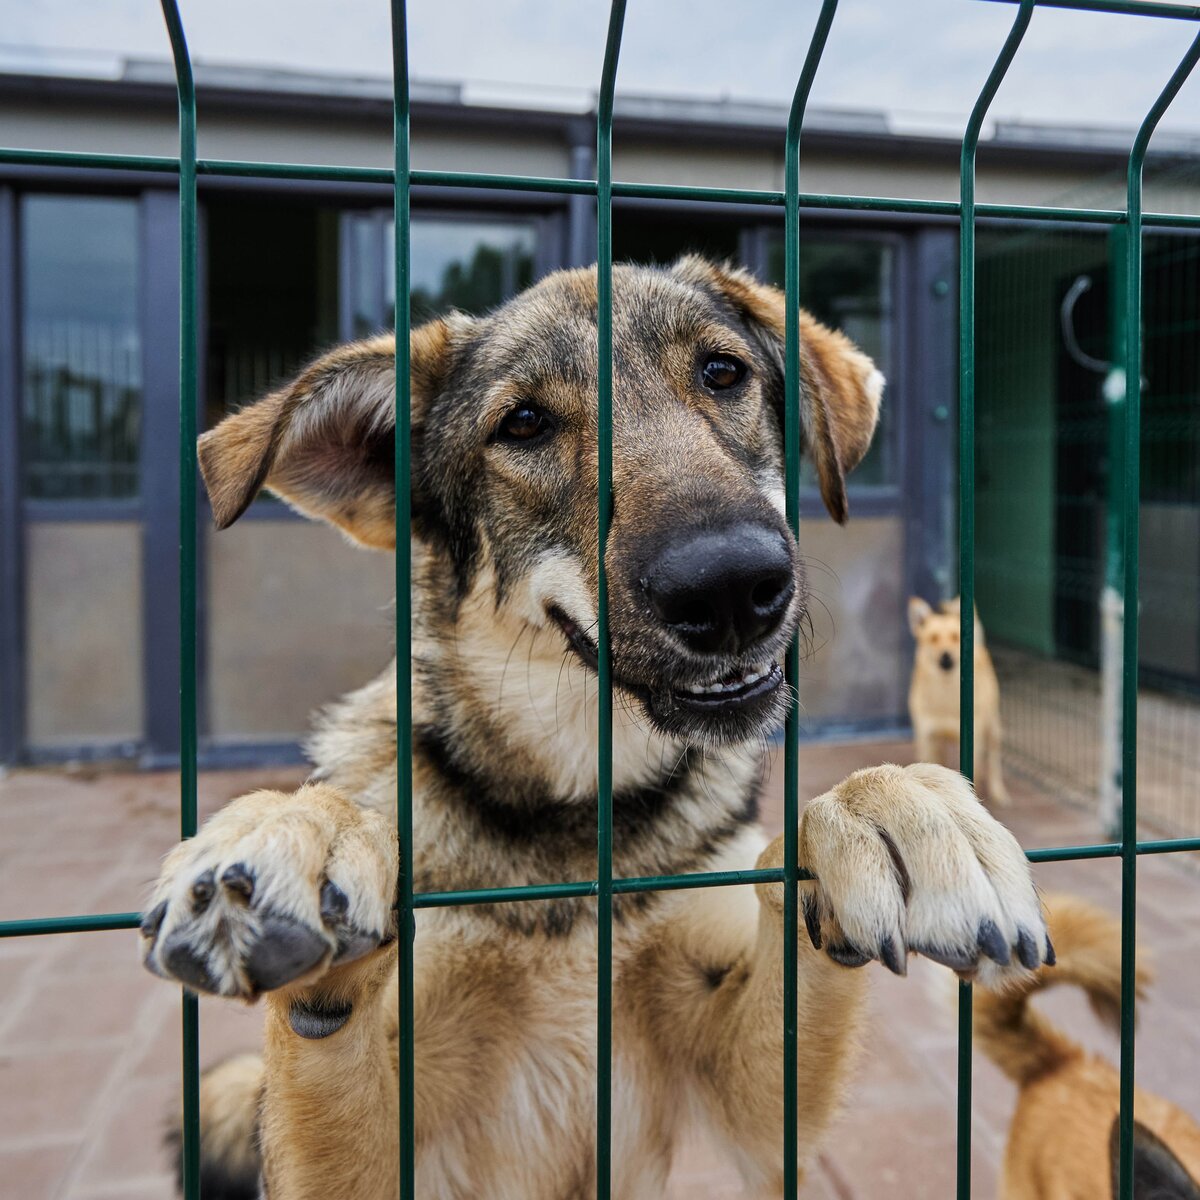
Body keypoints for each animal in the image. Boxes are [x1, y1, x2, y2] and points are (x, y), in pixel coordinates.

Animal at [902, 595, 1008, 801]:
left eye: (955, 637)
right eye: (933, 638)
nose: (946, 655)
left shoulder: (974, 742)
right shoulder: (928, 738)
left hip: (993, 729)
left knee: (994, 760)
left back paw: (998, 791)